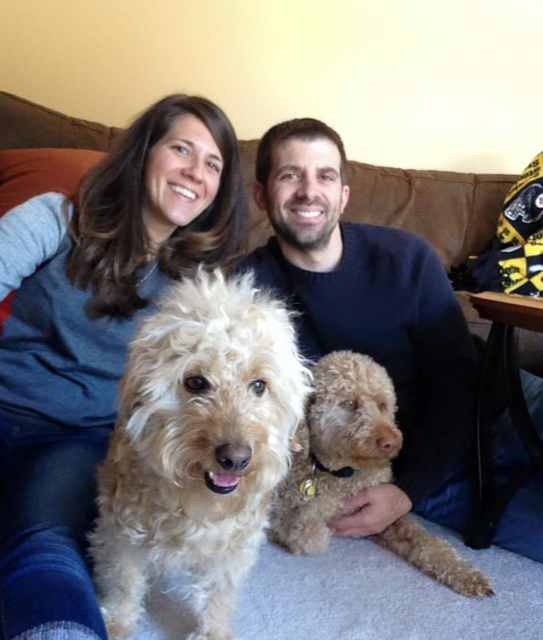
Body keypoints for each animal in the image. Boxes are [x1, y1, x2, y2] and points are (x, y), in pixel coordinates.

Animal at [88, 270, 310, 640]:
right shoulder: (120, 534)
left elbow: (219, 593)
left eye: (259, 385)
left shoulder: (234, 549)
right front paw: (117, 620)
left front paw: (212, 632)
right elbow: (123, 580)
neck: (194, 506)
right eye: (195, 382)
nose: (236, 458)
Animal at [270, 348, 496, 596]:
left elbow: (430, 543)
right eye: (350, 403)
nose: (390, 442)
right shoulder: (282, 510)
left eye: (382, 404)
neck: (345, 473)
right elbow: (307, 531)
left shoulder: (387, 518)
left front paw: (466, 574)